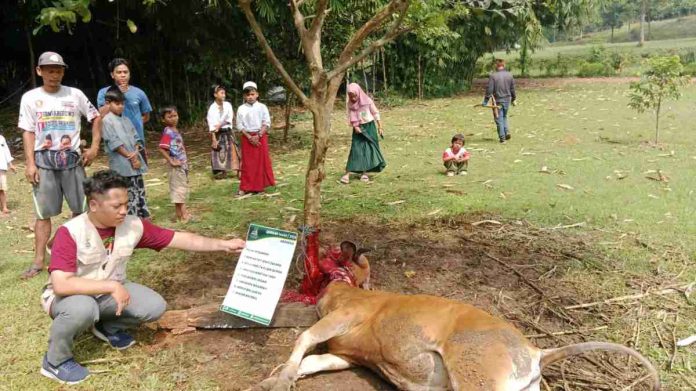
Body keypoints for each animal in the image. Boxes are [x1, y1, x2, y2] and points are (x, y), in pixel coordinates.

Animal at [253, 243, 660, 390]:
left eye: (323, 257)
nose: (299, 266)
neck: (346, 290)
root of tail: (535, 351)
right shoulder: (349, 353)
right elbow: (314, 361)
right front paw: (277, 377)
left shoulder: (345, 316)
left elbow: (305, 338)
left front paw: (281, 377)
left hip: (475, 375)